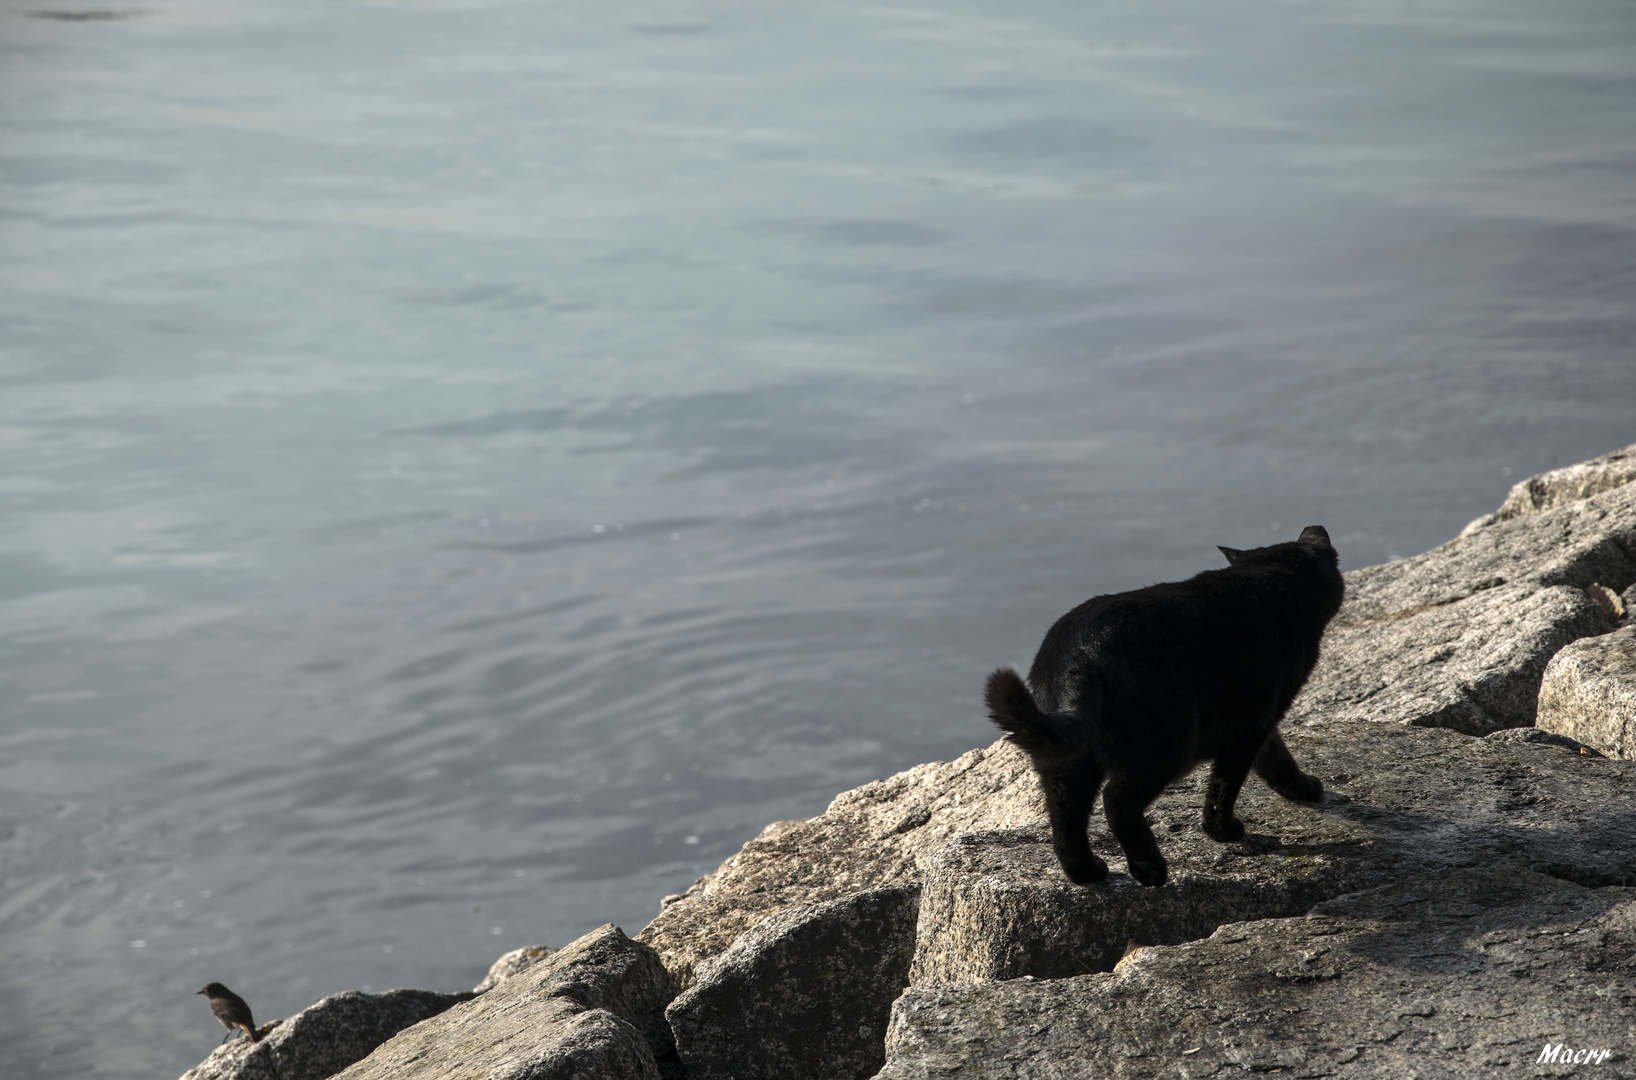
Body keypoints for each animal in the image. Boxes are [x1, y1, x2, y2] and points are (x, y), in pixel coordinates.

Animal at [981, 523, 1341, 883]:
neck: (1274, 578)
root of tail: (1081, 651)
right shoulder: (1253, 724)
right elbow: (1226, 785)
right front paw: (1223, 831)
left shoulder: (1257, 721)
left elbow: (1274, 758)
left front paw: (1301, 788)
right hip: (1169, 744)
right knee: (1117, 800)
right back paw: (1149, 868)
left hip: (1067, 758)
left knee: (1065, 810)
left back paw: (1087, 872)